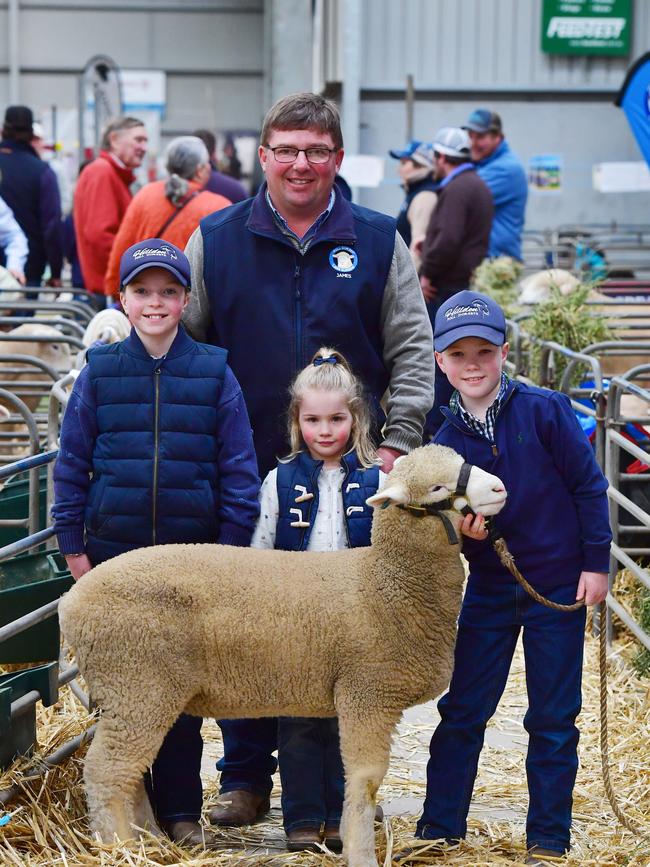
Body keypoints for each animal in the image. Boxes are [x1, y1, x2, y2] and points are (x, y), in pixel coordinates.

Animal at [59, 448, 506, 867]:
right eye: (435, 488)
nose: (500, 488)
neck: (386, 581)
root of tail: (72, 601)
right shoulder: (368, 694)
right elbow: (366, 782)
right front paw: (361, 853)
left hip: (134, 693)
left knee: (129, 771)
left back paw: (147, 839)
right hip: (136, 681)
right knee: (107, 771)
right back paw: (119, 847)